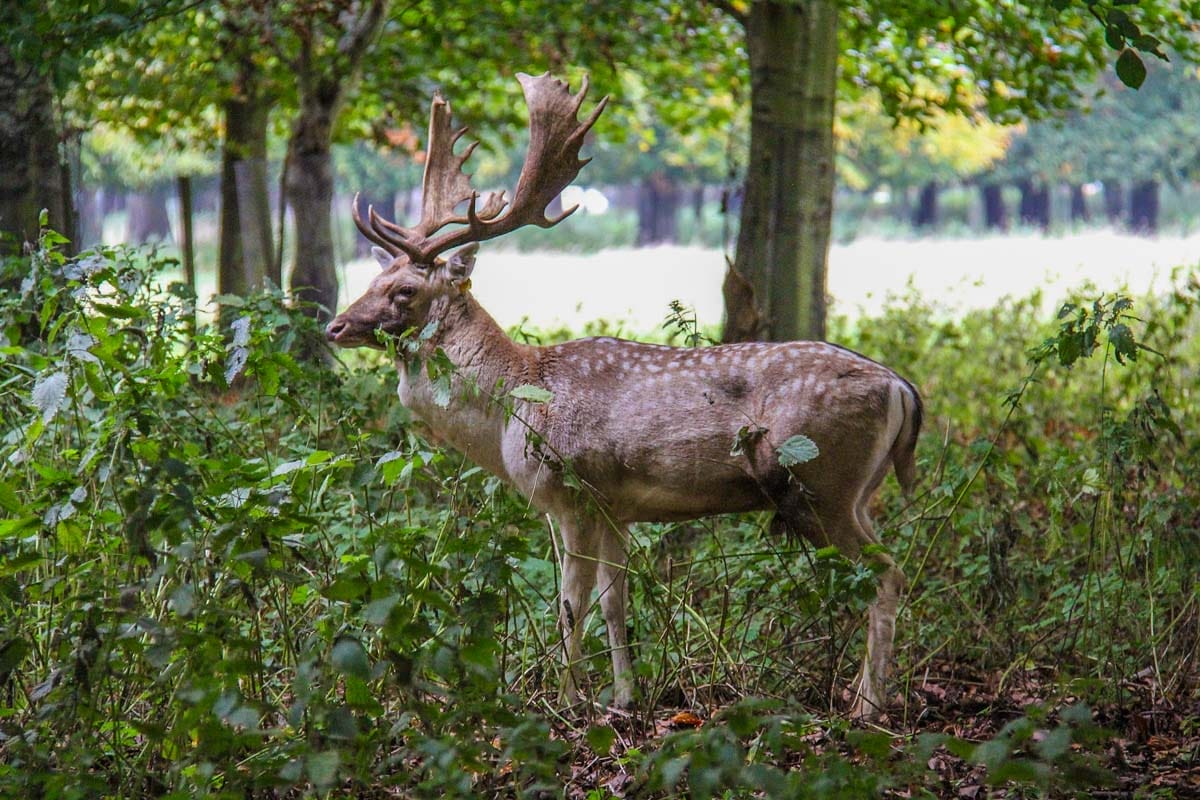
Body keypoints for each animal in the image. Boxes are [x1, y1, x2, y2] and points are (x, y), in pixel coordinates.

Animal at [325, 72, 923, 720]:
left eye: (404, 290)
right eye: (374, 278)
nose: (335, 326)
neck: (514, 403)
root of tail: (901, 387)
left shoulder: (573, 492)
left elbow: (571, 605)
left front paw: (564, 702)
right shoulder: (615, 506)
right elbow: (615, 602)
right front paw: (623, 698)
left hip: (820, 480)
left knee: (887, 575)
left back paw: (868, 707)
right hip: (859, 491)